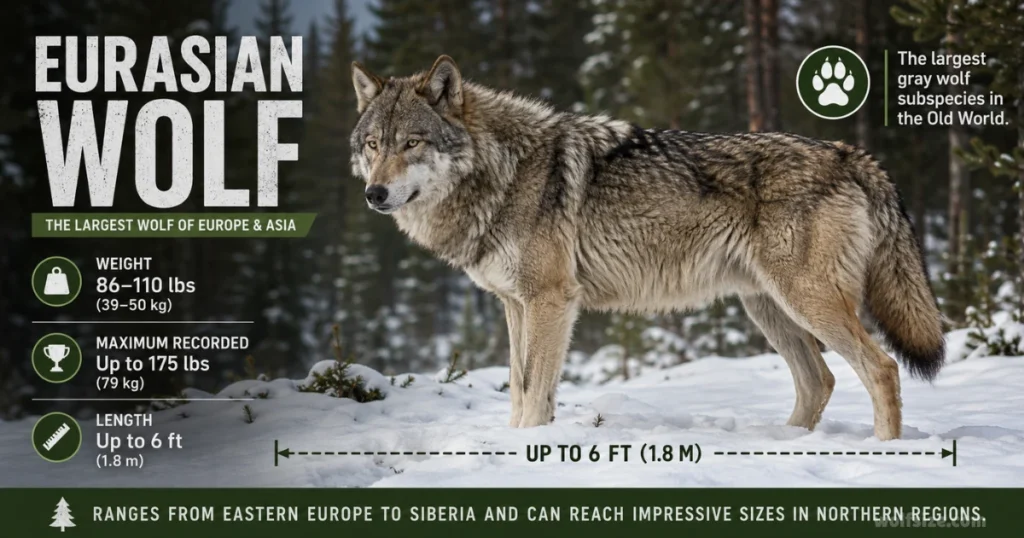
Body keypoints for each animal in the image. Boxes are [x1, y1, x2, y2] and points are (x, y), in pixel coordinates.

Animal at [349, 55, 945, 440]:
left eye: (412, 143)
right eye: (373, 144)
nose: (374, 194)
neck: (502, 172)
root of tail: (850, 152)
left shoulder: (551, 301)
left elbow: (535, 390)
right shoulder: (514, 304)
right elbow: (518, 386)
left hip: (806, 301)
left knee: (881, 368)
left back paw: (881, 453)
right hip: (768, 307)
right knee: (819, 380)